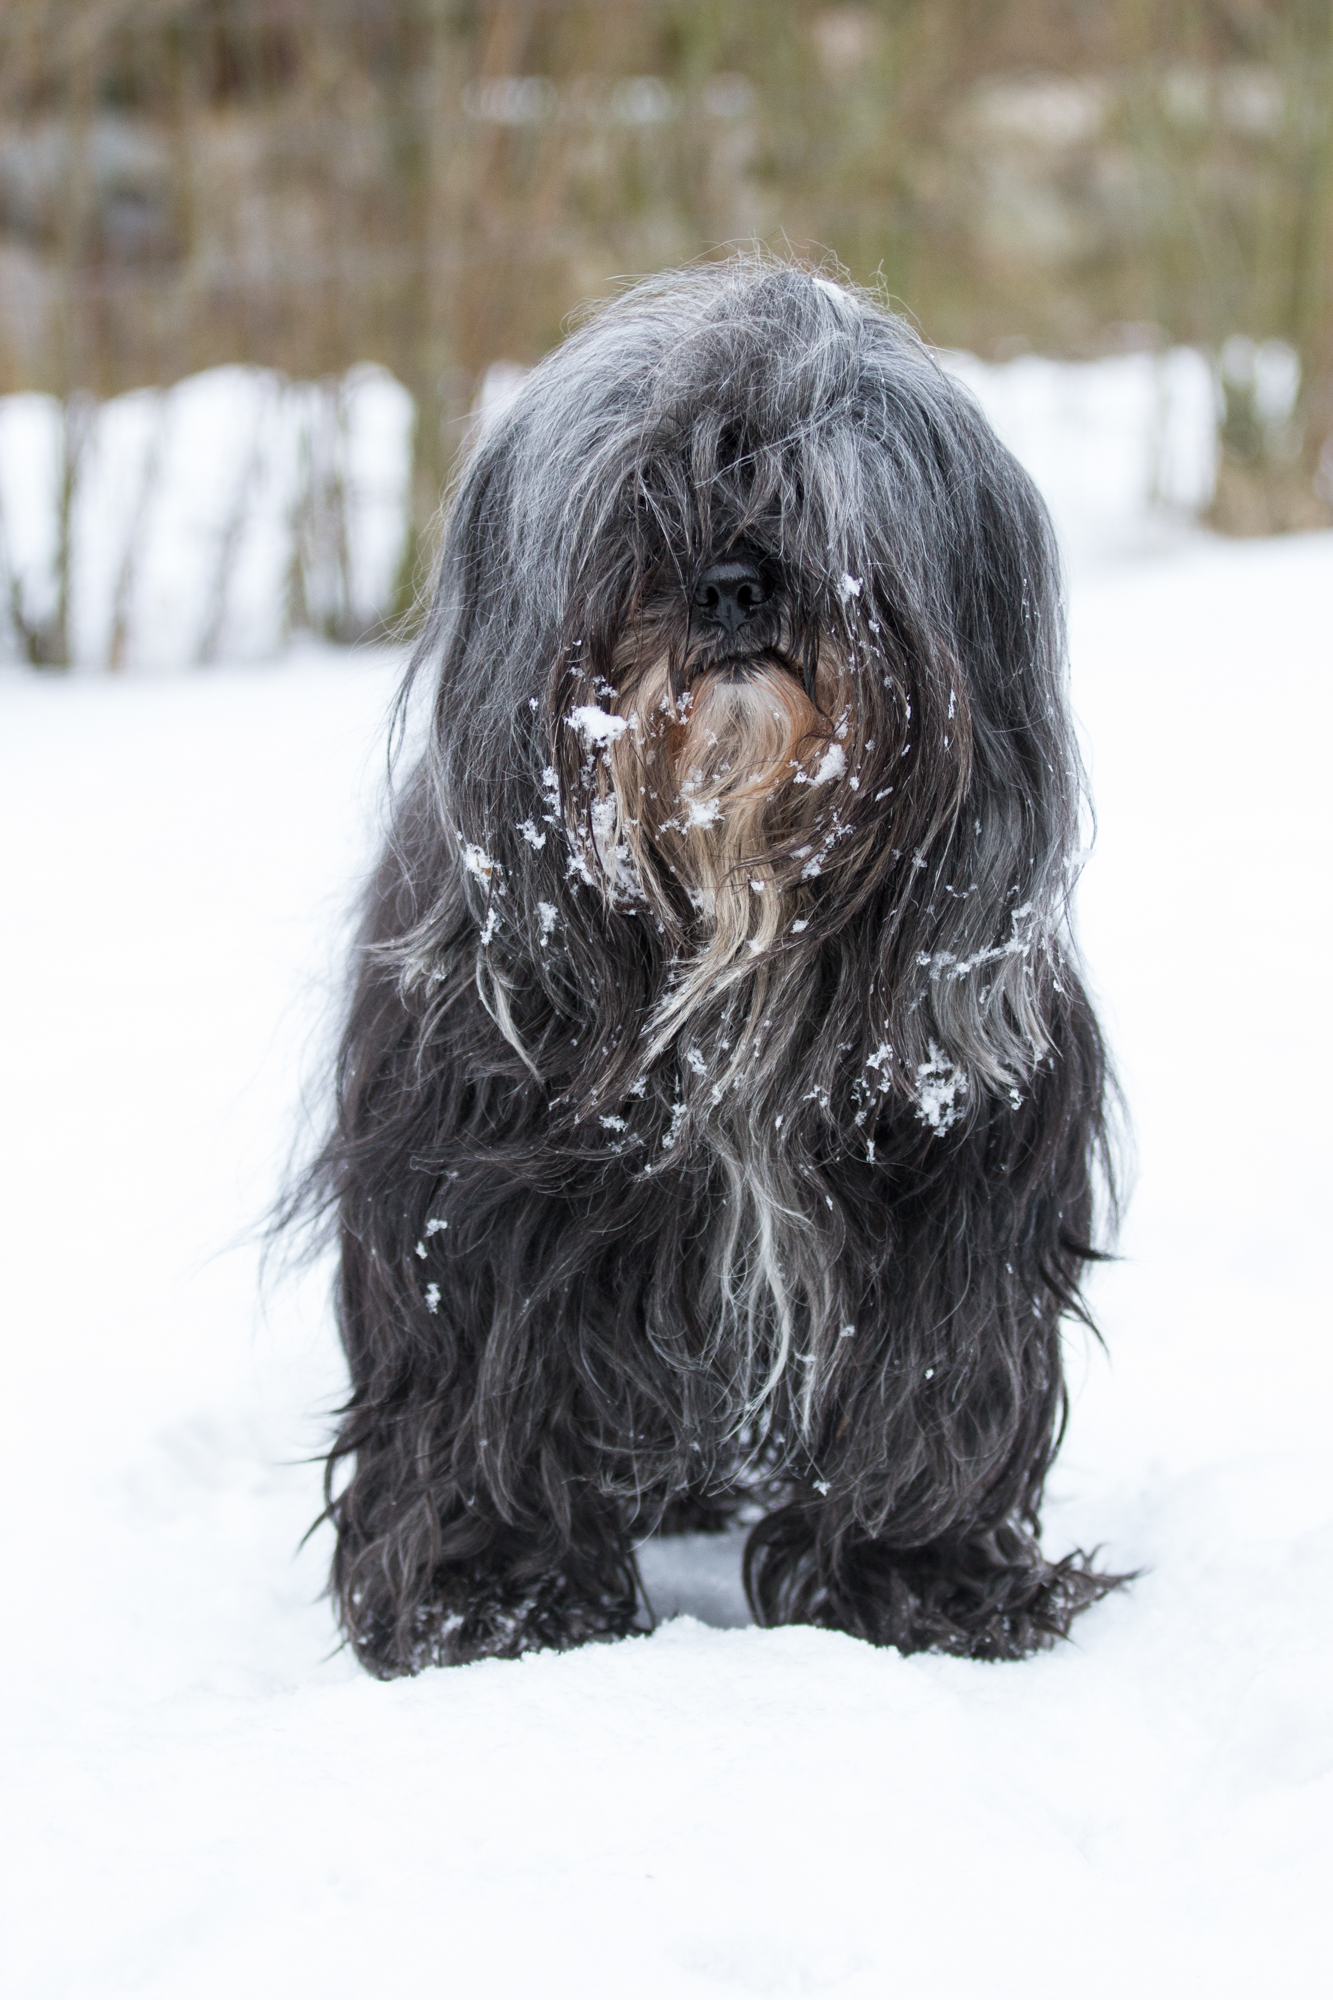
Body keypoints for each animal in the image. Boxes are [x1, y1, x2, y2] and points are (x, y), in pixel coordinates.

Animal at [294, 262, 1120, 1672]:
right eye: (642, 505)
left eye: (816, 498)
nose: (731, 584)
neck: (735, 913)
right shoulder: (473, 1185)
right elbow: (480, 1397)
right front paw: (493, 1599)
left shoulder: (959, 1177)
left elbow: (930, 1394)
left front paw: (929, 1585)